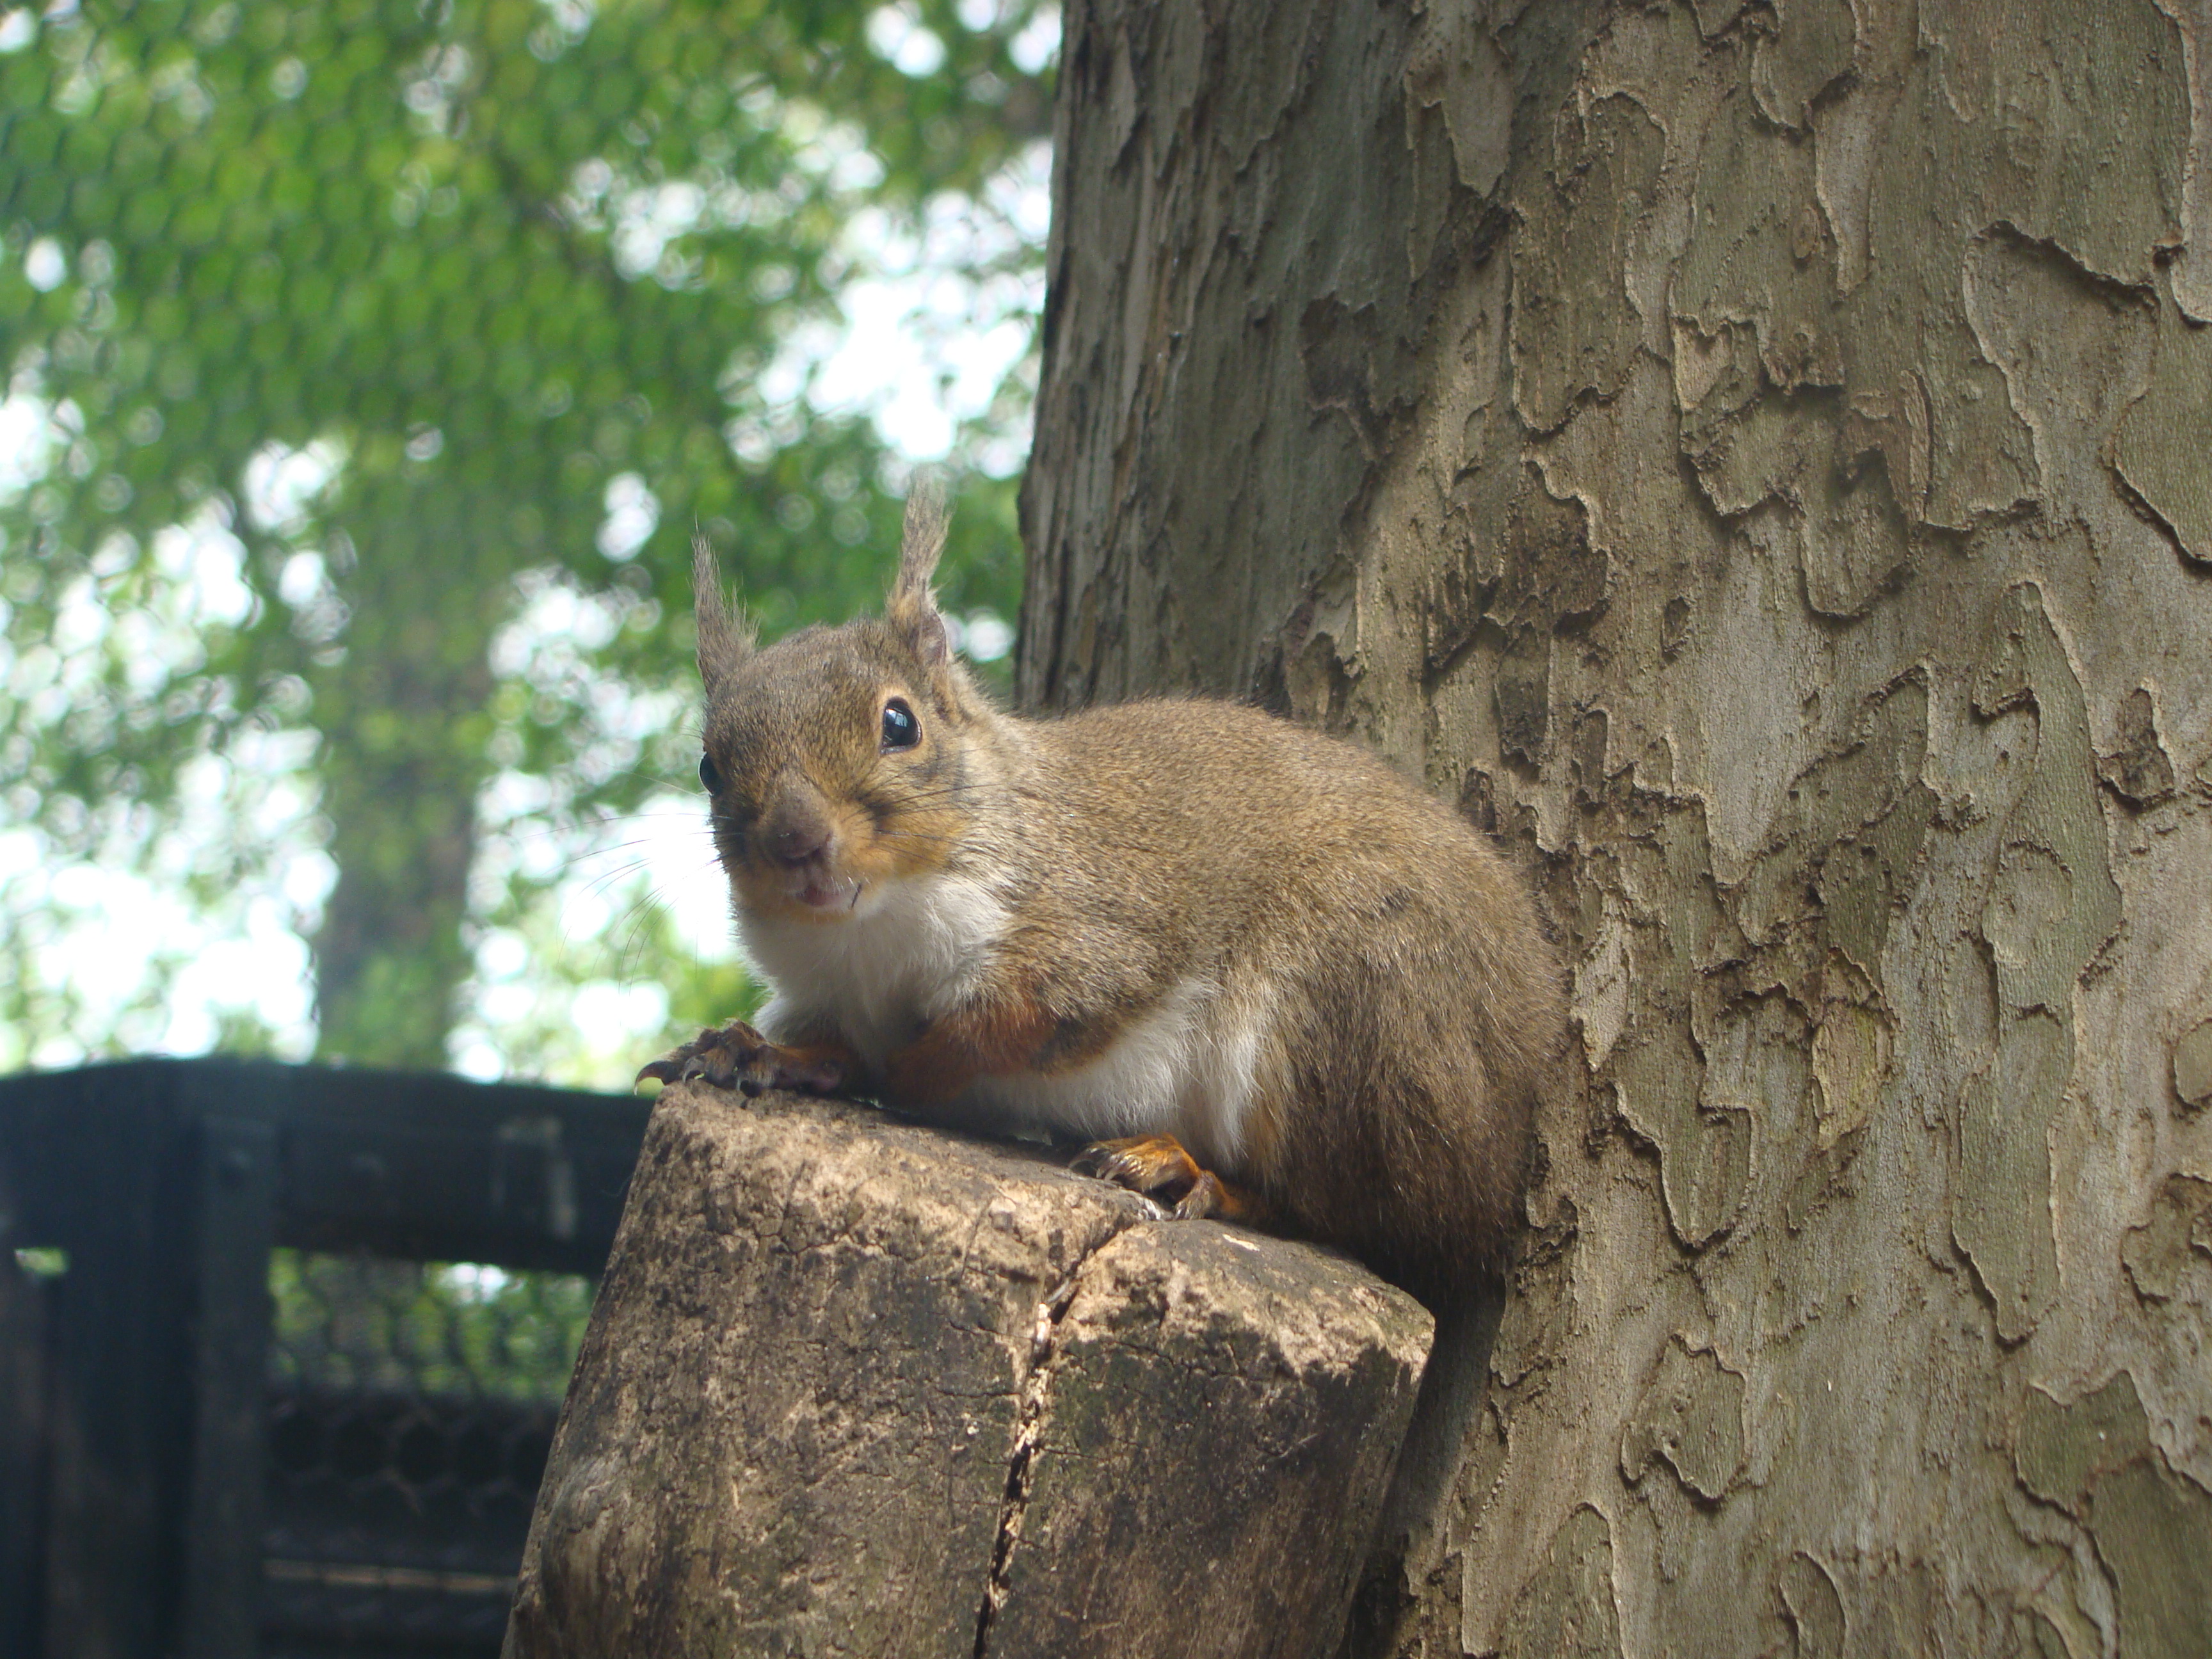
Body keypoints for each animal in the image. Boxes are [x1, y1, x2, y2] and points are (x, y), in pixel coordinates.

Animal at [641, 493, 1566, 1301]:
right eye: (710, 767)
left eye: (899, 724)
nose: (797, 844)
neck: (868, 937)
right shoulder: (825, 989)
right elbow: (828, 1042)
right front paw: (759, 1053)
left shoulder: (1095, 933)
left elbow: (1009, 1026)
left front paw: (905, 1071)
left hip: (1342, 1021)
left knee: (1353, 1217)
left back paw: (1190, 1174)